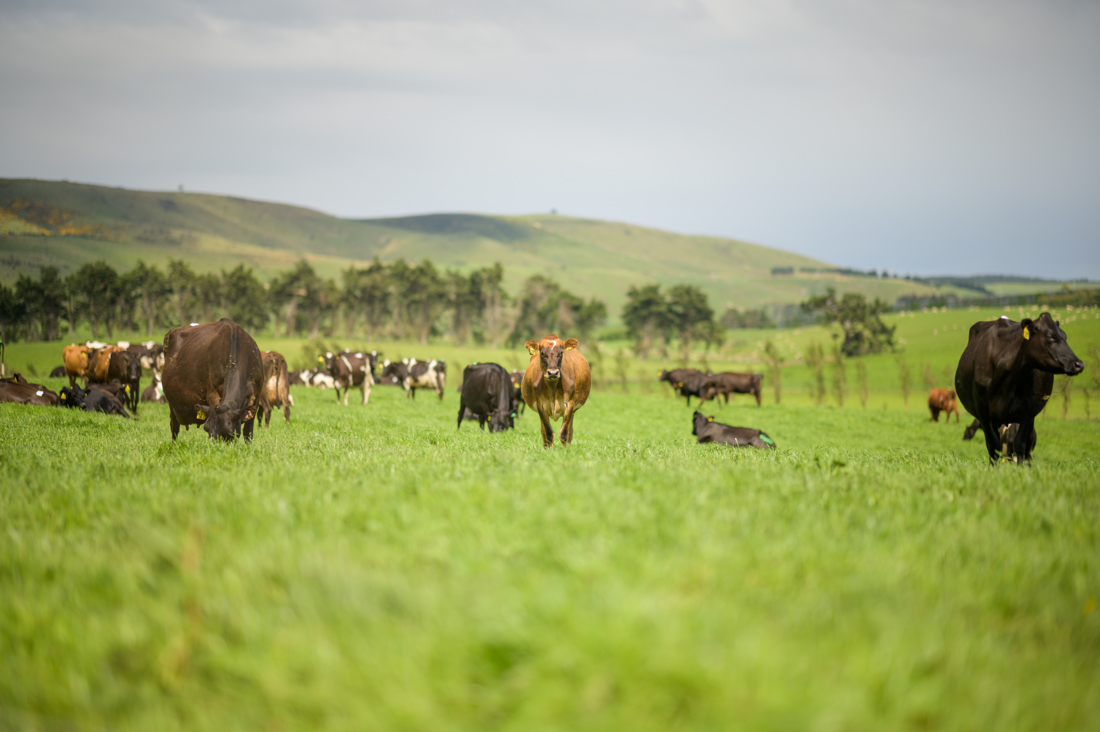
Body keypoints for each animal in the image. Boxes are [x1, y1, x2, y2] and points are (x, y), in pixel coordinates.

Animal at [955, 312, 1083, 464]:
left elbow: (1020, 443)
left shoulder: (1028, 407)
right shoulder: (982, 411)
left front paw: (1021, 468)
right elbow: (993, 445)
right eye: (1050, 336)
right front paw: (994, 468)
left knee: (1028, 445)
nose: (1079, 364)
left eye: (1065, 336)